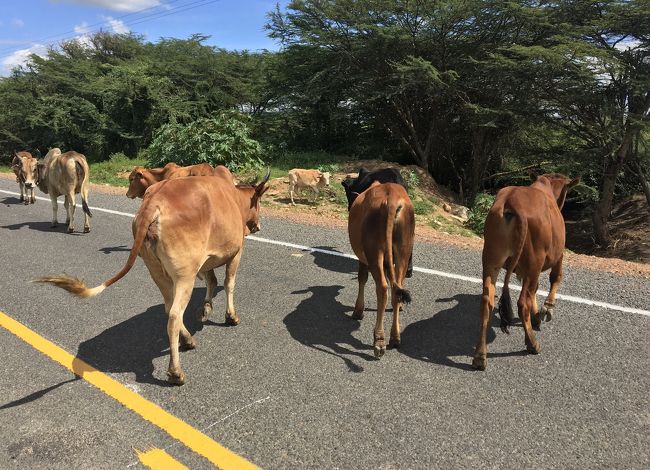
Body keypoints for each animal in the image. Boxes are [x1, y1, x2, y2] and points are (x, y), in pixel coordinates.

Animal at [34, 171, 268, 384]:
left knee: (168, 307)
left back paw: (188, 340)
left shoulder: (204, 263)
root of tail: (153, 203)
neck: (235, 198)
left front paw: (206, 309)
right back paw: (176, 371)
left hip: (156, 270)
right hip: (185, 275)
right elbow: (228, 283)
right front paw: (231, 316)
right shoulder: (236, 252)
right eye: (257, 203)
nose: (257, 226)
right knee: (174, 315)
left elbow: (212, 281)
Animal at [346, 182, 412, 358]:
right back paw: (395, 338)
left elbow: (362, 278)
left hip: (374, 252)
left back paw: (379, 341)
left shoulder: (363, 259)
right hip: (403, 250)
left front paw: (358, 310)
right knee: (397, 289)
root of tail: (392, 198)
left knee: (382, 289)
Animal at [470, 173, 576, 370]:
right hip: (533, 262)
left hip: (491, 260)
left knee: (487, 301)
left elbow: (535, 289)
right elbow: (555, 277)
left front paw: (537, 315)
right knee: (522, 303)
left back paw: (480, 356)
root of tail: (511, 202)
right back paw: (532, 343)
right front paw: (547, 308)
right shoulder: (559, 255)